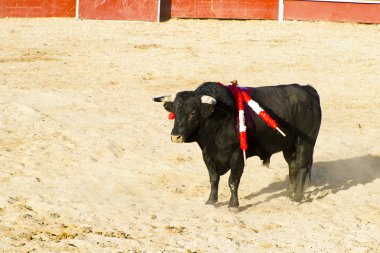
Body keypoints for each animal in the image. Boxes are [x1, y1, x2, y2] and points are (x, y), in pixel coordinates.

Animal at [153, 82, 322, 209]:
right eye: (175, 111)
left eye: (193, 113)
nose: (175, 136)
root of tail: (308, 90)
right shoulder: (207, 155)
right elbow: (213, 179)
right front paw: (211, 201)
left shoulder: (237, 155)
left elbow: (233, 181)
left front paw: (233, 205)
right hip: (289, 146)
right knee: (292, 166)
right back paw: (289, 193)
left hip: (306, 142)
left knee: (301, 167)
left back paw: (297, 198)